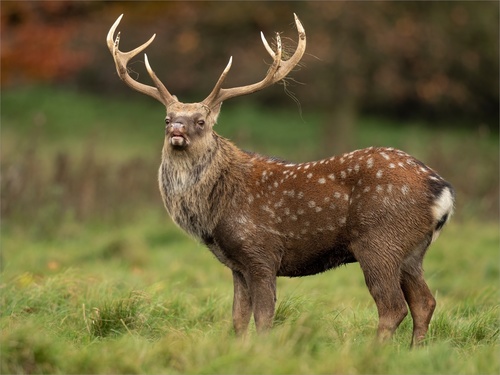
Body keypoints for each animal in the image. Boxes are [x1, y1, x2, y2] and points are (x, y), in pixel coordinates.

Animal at [105, 13, 454, 346]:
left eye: (201, 121)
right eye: (167, 119)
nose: (177, 129)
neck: (215, 213)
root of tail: (443, 191)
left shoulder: (262, 253)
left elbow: (263, 317)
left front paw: (262, 352)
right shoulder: (237, 265)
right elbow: (238, 319)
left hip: (379, 242)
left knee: (393, 307)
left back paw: (374, 353)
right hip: (412, 251)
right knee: (424, 303)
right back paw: (415, 352)